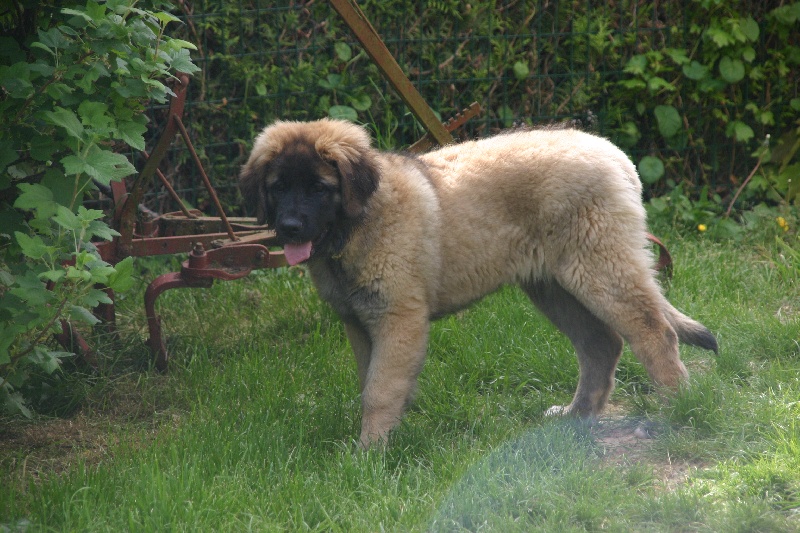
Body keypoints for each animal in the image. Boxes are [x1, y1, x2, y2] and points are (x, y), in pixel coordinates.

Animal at [239, 119, 718, 447]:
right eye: (278, 187)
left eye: (319, 188)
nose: (289, 228)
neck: (357, 226)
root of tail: (613, 153)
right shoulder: (359, 323)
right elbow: (369, 384)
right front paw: (384, 439)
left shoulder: (398, 318)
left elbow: (379, 390)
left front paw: (368, 455)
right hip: (553, 285)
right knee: (601, 344)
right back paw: (576, 416)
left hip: (601, 267)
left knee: (654, 333)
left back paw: (677, 414)